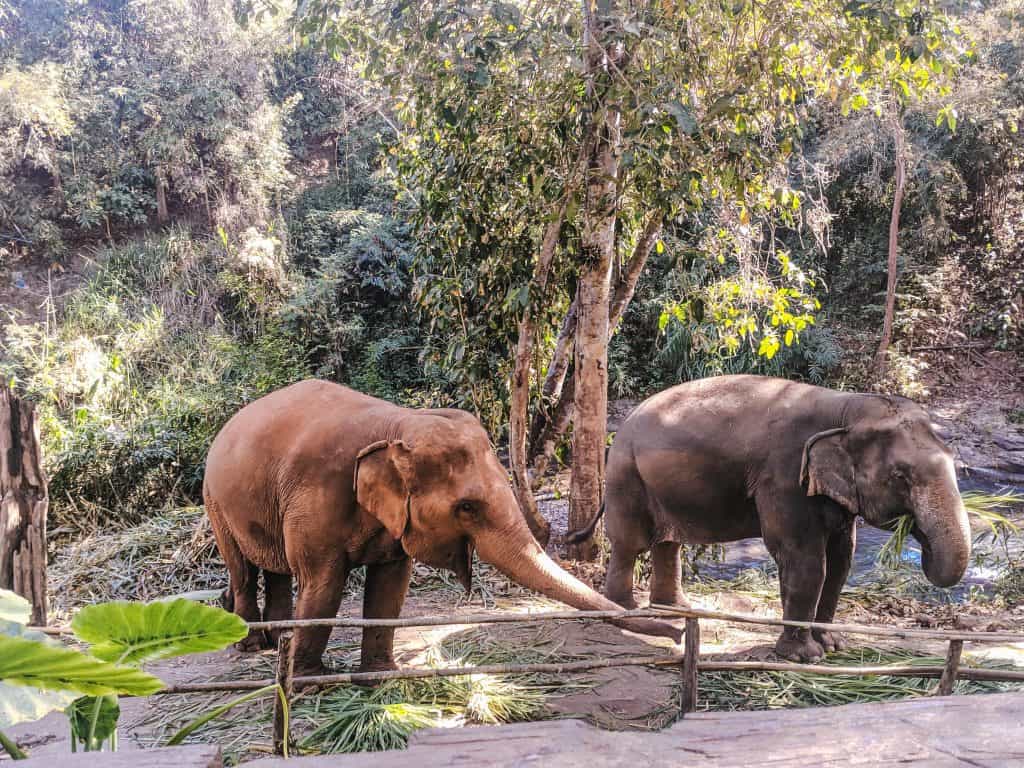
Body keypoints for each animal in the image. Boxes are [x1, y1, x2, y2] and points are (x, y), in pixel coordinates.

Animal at [204, 379, 681, 677]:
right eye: (467, 507)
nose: (678, 635)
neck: (397, 423)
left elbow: (391, 587)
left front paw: (380, 677)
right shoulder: (317, 498)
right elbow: (323, 584)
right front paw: (309, 682)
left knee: (275, 570)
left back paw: (275, 641)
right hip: (214, 501)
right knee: (242, 569)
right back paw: (251, 647)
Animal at [566, 374, 971, 662]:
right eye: (901, 477)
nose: (918, 538)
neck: (846, 407)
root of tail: (620, 430)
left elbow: (842, 560)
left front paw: (834, 645)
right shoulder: (784, 477)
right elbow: (804, 559)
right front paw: (803, 657)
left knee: (668, 542)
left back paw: (677, 609)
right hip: (626, 475)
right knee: (630, 542)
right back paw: (625, 609)